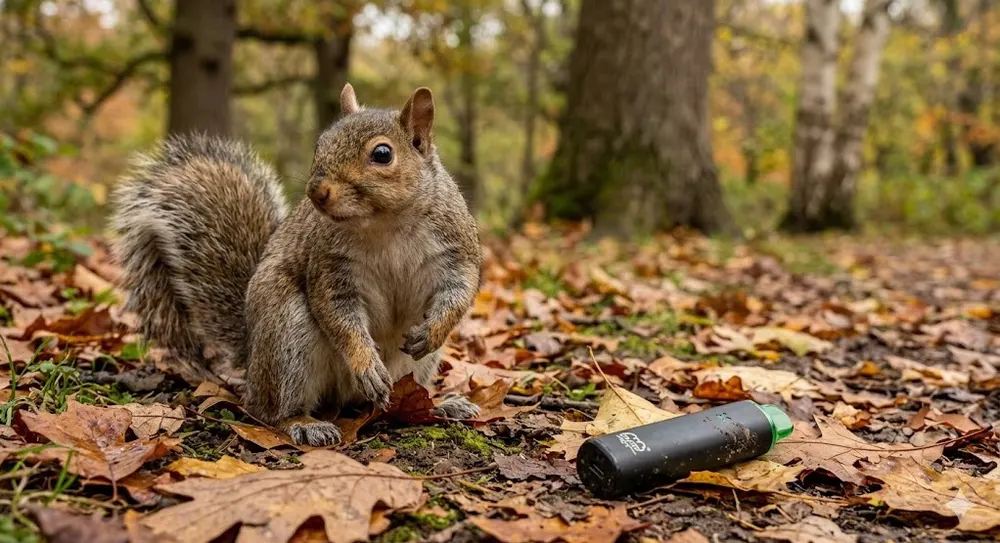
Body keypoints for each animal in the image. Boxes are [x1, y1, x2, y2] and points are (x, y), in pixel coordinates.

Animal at [111, 84, 483, 446]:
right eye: (320, 143)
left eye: (382, 154)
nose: (316, 191)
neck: (384, 225)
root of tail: (252, 359)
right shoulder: (329, 268)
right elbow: (338, 317)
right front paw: (365, 363)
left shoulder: (456, 250)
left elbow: (461, 291)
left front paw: (432, 330)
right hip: (287, 335)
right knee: (268, 410)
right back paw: (304, 423)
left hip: (414, 367)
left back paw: (441, 405)